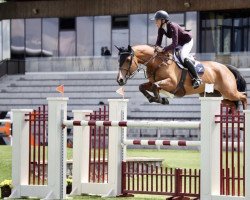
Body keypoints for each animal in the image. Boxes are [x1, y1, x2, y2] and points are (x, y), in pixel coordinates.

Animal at [115, 44, 248, 109]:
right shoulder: (152, 82)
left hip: (229, 91)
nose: (120, 80)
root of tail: (225, 67)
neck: (157, 62)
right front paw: (156, 99)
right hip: (217, 95)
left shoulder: (172, 83)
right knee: (233, 103)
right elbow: (143, 87)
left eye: (128, 60)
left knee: (243, 97)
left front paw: (161, 99)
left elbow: (155, 86)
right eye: (118, 60)